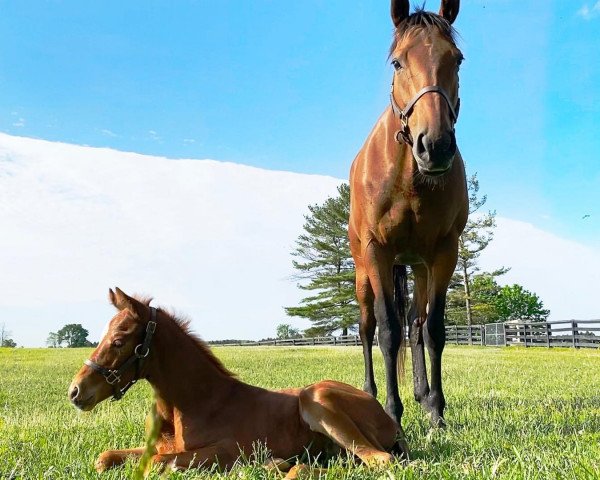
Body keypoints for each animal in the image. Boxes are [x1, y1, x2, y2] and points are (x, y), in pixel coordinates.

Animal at [69, 288, 408, 476]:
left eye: (118, 341)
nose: (75, 391)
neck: (197, 402)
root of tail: (390, 420)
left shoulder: (226, 450)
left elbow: (158, 464)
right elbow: (105, 458)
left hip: (316, 396)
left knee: (382, 461)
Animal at [346, 0, 468, 434]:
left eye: (457, 59)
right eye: (398, 62)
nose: (435, 146)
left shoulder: (444, 253)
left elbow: (432, 330)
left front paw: (437, 411)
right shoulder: (378, 252)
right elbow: (387, 331)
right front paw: (391, 414)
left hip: (418, 265)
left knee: (416, 324)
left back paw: (423, 396)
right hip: (362, 270)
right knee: (366, 328)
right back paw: (369, 393)